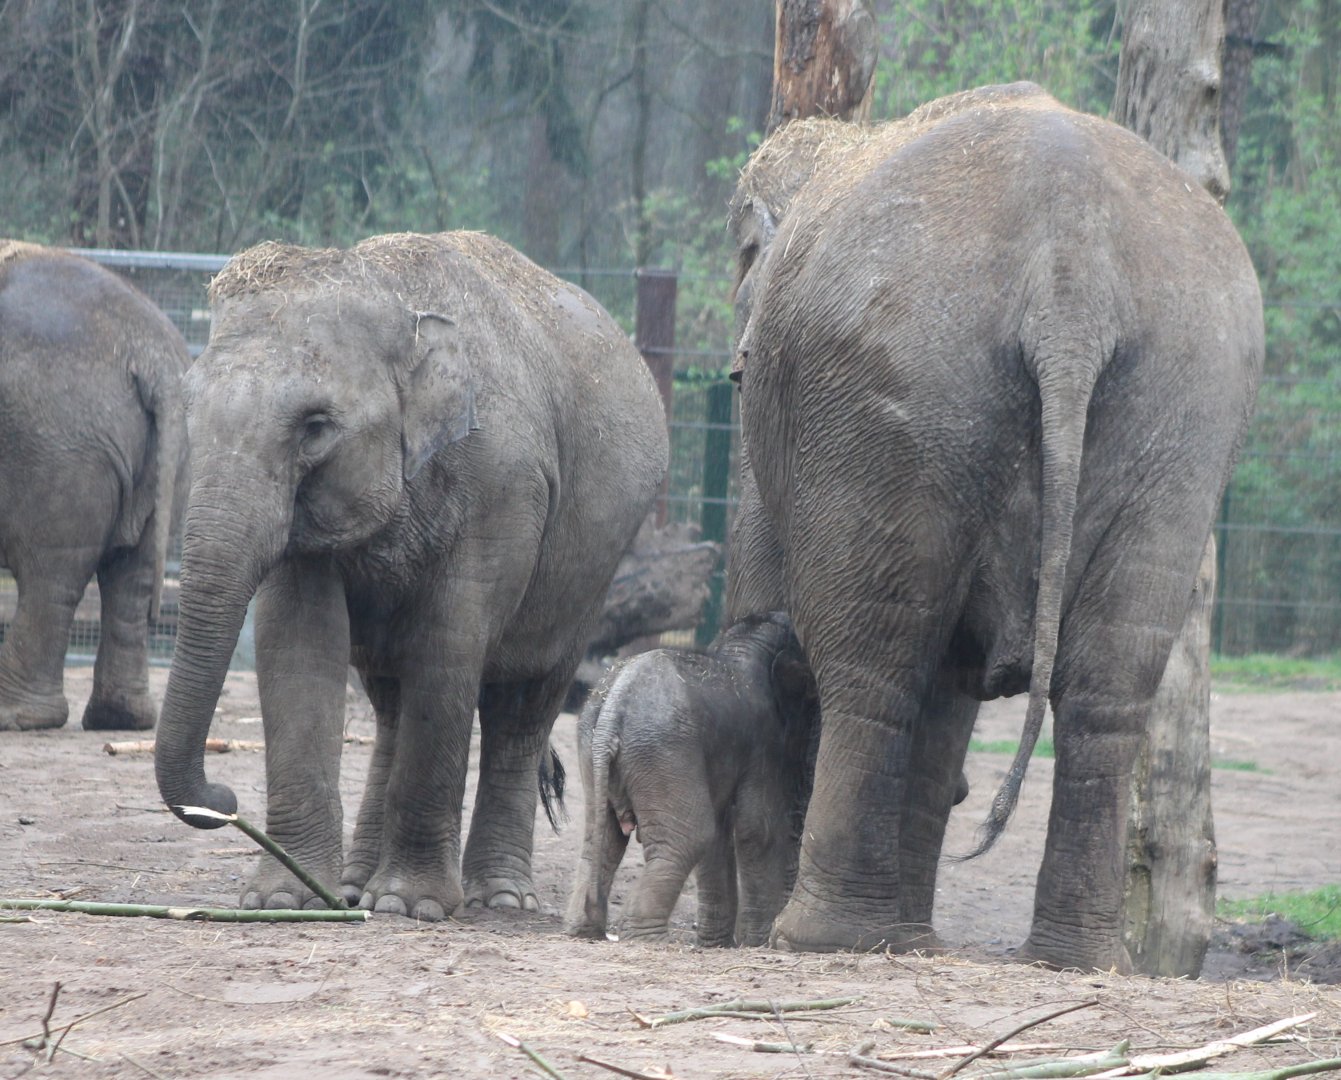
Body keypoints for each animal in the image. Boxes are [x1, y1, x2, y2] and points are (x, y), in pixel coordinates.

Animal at [0, 241, 188, 732]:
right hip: (171, 455)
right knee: (133, 577)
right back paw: (120, 718)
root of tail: (154, 357)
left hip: (58, 447)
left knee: (51, 575)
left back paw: (18, 717)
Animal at [153, 231, 668, 919]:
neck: (391, 293)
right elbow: (297, 643)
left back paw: (499, 899)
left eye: (316, 426)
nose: (226, 798)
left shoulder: (502, 484)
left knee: (525, 700)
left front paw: (411, 905)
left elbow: (448, 644)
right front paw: (285, 899)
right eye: (189, 410)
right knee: (391, 700)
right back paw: (353, 887)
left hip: (592, 565)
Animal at [565, 612, 820, 946]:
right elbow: (758, 829)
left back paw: (585, 930)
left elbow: (724, 832)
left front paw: (720, 944)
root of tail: (611, 710)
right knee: (690, 835)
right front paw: (757, 941)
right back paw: (649, 939)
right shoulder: (764, 743)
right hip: (662, 748)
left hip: (592, 745)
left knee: (601, 838)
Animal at [724, 83, 1263, 971]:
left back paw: (813, 940)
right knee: (1106, 684)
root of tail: (1071, 276)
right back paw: (1065, 958)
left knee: (872, 662)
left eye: (741, 256)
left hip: (893, 386)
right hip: (1184, 403)